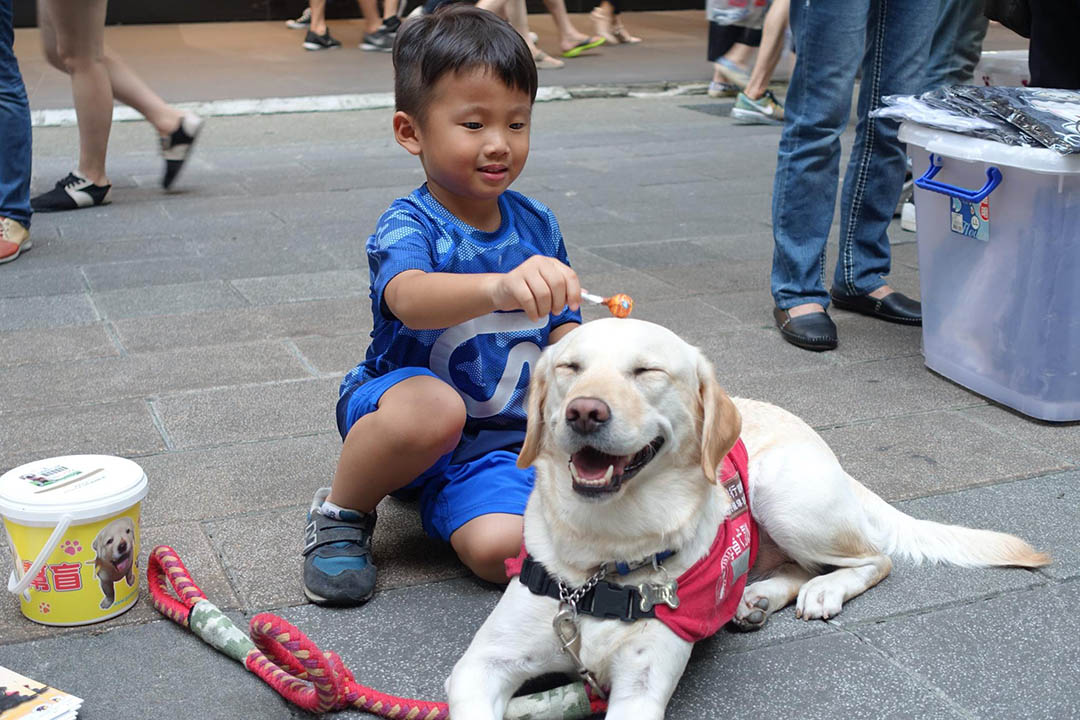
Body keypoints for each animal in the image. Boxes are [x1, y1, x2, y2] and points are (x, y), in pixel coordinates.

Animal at [444, 321, 1045, 720]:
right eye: (570, 367)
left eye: (647, 371)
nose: (584, 411)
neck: (603, 558)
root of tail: (827, 452)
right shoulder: (479, 668)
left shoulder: (641, 686)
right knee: (801, 566)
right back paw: (757, 597)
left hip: (783, 495)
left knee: (875, 559)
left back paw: (822, 591)